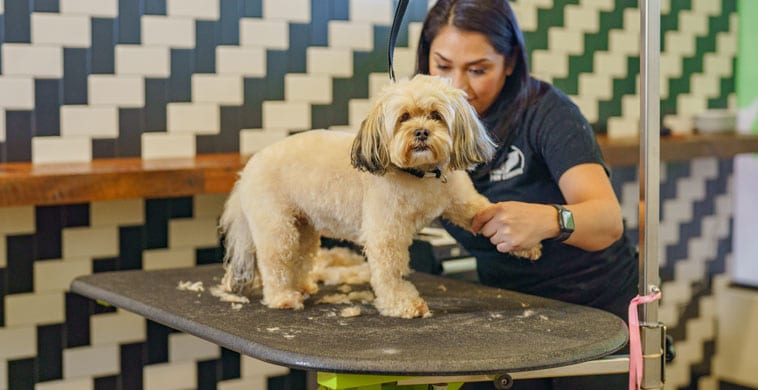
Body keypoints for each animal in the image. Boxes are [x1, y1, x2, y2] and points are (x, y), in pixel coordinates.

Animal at [218, 74, 540, 318]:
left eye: (436, 115)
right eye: (404, 118)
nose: (421, 132)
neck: (420, 175)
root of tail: (247, 169)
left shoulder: (461, 201)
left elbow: (484, 211)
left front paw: (526, 243)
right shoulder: (386, 232)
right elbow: (389, 270)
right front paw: (402, 303)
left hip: (303, 227)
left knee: (299, 257)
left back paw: (303, 286)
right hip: (277, 227)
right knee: (274, 262)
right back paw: (283, 297)